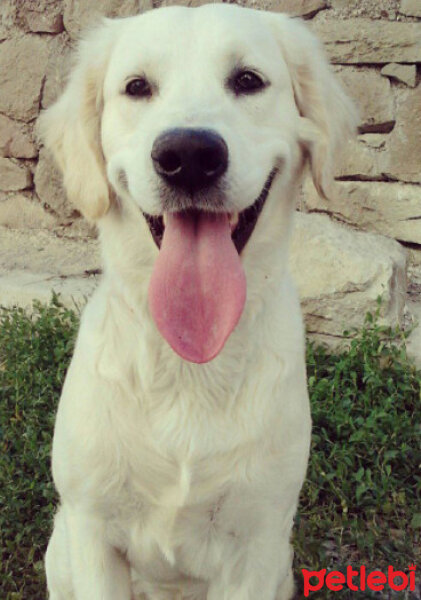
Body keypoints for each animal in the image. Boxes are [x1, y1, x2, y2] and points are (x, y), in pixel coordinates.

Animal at [38, 5, 354, 600]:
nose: (187, 155)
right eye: (137, 87)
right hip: (61, 550)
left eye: (248, 80)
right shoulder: (91, 531)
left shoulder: (257, 544)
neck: (189, 365)